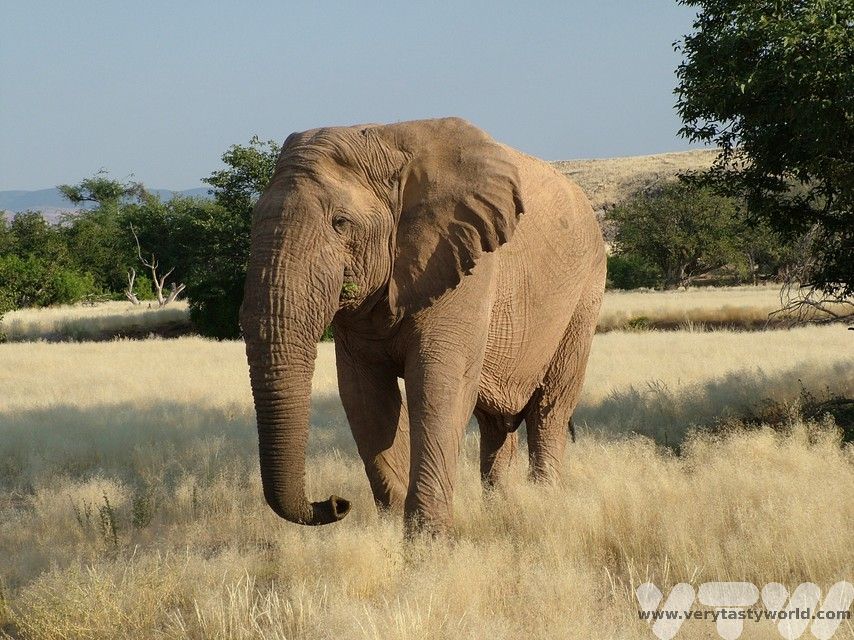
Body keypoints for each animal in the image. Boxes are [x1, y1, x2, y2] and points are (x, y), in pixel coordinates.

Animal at [240, 117, 606, 535]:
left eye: (340, 223)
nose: (336, 503)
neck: (384, 141)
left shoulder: (465, 260)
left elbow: (437, 387)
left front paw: (428, 541)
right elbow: (364, 398)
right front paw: (391, 530)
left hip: (584, 295)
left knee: (550, 409)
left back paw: (543, 502)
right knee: (496, 423)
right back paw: (501, 509)